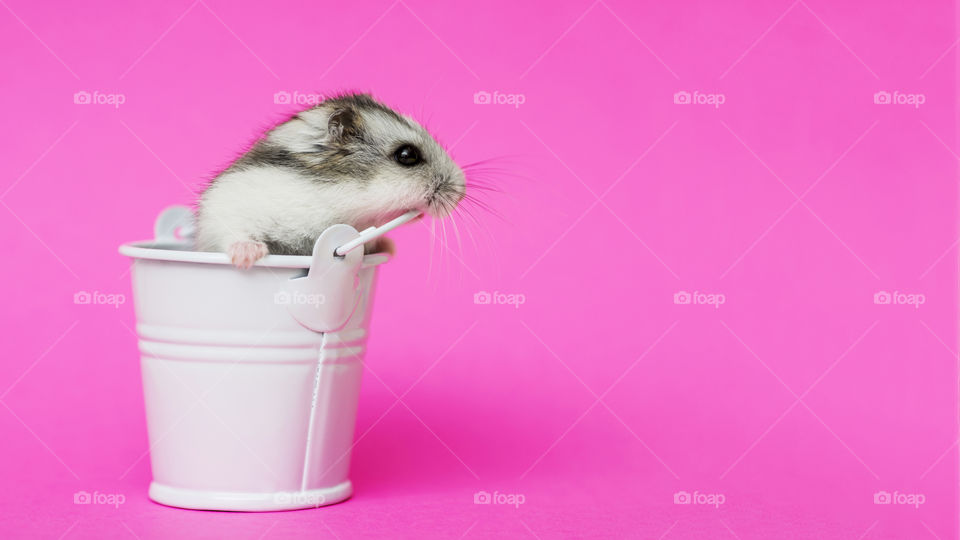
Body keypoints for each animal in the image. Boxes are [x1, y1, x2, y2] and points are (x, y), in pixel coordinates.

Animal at [195, 95, 464, 270]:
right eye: (407, 155)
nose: (462, 191)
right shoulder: (227, 203)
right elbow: (233, 231)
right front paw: (247, 258)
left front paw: (390, 248)